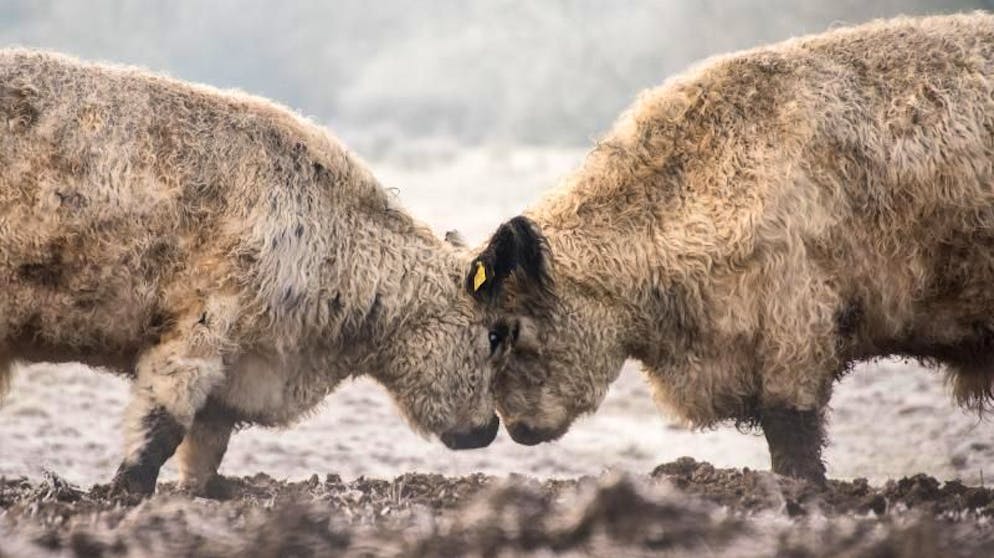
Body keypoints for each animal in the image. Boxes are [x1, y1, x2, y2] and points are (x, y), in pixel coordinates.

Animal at [0, 51, 500, 498]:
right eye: (494, 336)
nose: (491, 427)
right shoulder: (201, 326)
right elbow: (163, 424)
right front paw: (129, 488)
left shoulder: (235, 366)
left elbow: (206, 443)